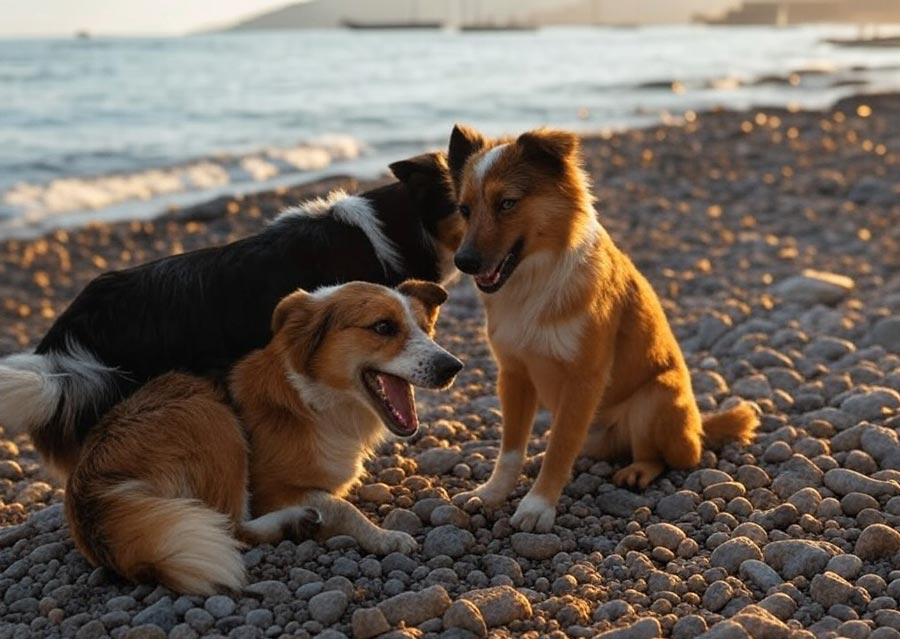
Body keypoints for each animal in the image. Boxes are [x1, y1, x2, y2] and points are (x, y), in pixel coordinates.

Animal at [63, 280, 464, 596]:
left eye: (424, 329)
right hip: (211, 418)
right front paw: (383, 537)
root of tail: (90, 493)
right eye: (383, 327)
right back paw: (294, 521)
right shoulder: (270, 489)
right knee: (231, 525)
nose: (453, 367)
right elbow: (341, 506)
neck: (313, 399)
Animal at [446, 125, 756, 536]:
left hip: (656, 397)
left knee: (673, 457)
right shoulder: (513, 374)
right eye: (464, 209)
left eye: (507, 203)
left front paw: (538, 505)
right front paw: (493, 493)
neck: (535, 281)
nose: (463, 262)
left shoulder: (584, 378)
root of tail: (698, 427)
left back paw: (639, 470)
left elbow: (561, 446)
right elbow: (511, 450)